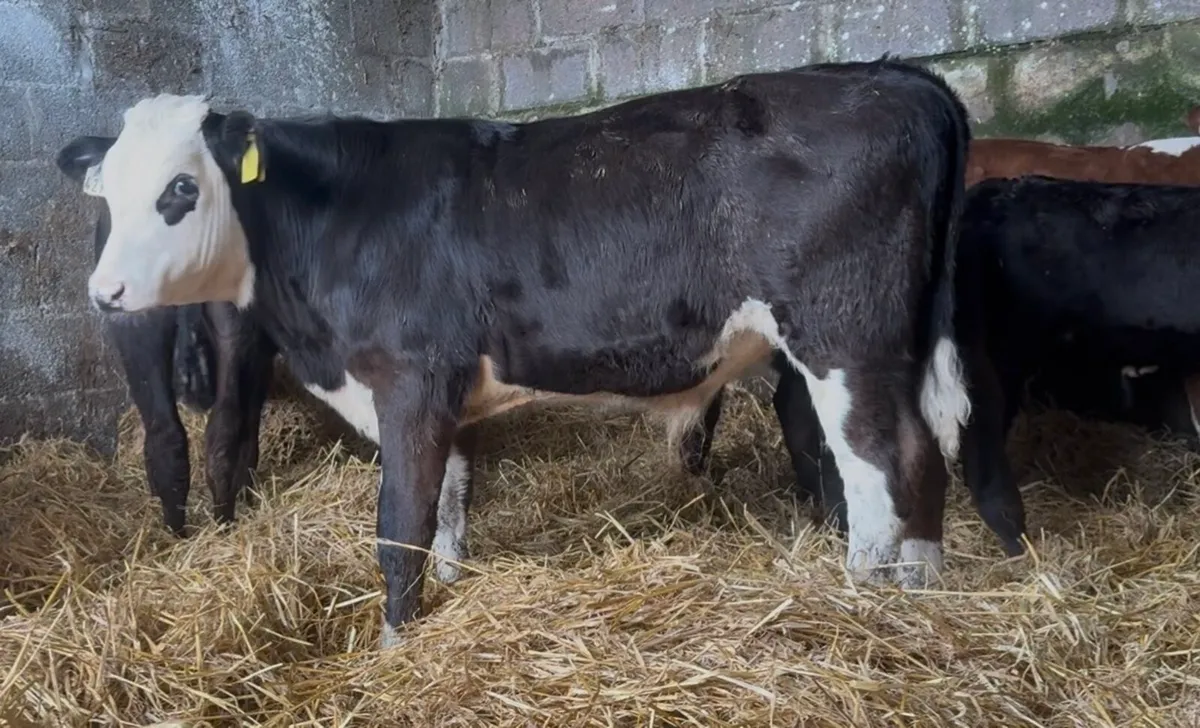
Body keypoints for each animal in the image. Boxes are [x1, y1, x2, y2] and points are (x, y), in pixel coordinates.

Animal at [59, 58, 973, 646]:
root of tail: (894, 76)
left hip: (840, 337)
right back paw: (925, 594)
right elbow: (449, 508)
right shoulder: (448, 394)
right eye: (106, 192)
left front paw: (395, 644)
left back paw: (863, 601)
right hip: (893, 346)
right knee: (923, 460)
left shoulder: (410, 377)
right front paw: (448, 596)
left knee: (878, 471)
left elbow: (399, 522)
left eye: (180, 189)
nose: (104, 291)